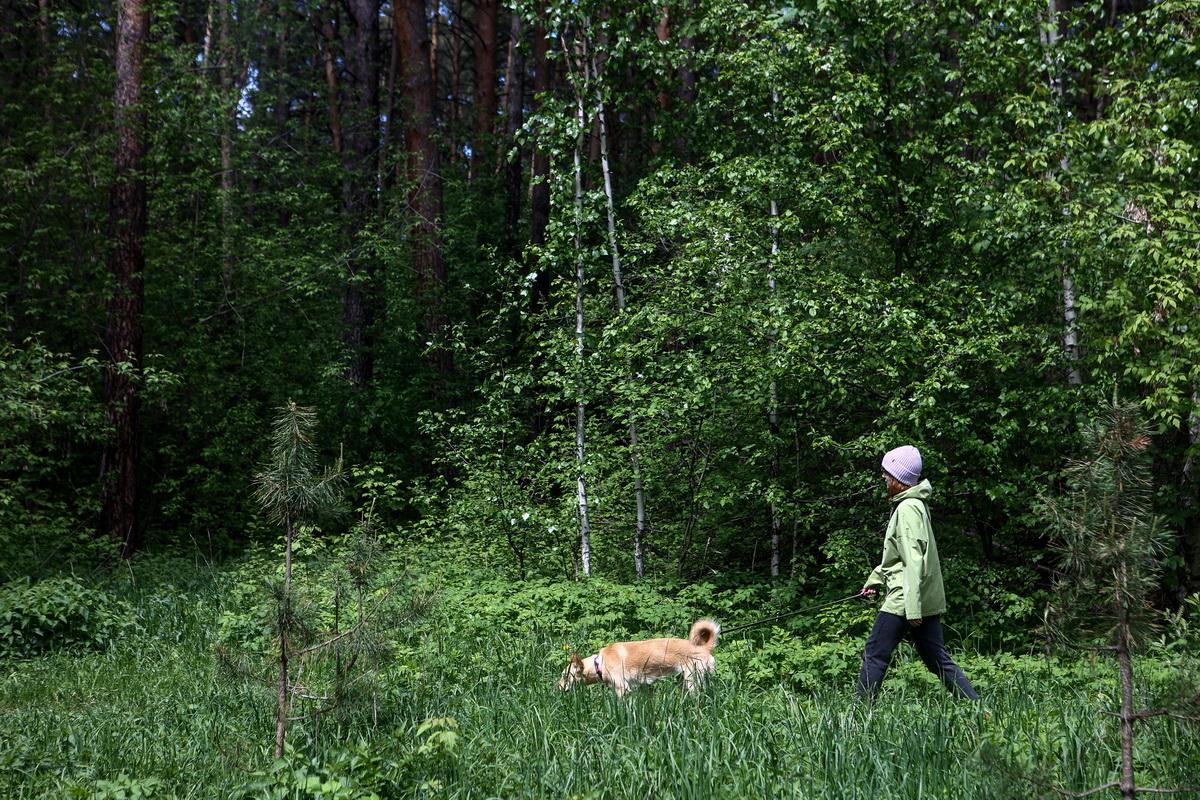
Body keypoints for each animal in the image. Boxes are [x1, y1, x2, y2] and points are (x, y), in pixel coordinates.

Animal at [554, 618, 715, 695]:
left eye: (565, 675)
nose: (557, 689)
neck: (599, 664)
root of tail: (704, 647)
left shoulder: (623, 689)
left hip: (692, 680)